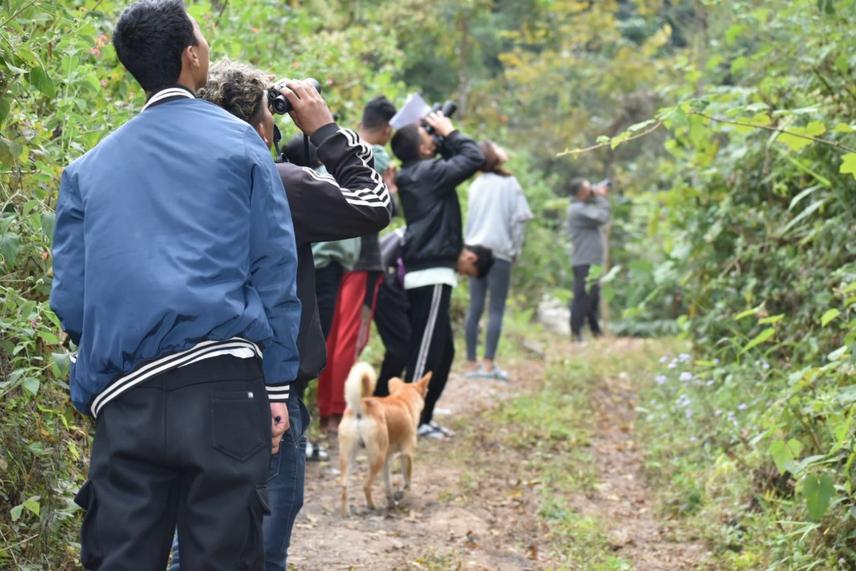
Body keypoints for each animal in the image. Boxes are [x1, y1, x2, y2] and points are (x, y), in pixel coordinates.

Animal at [338, 362, 432, 520]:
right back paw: (372, 506)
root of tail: (362, 405)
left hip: (349, 457)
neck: (403, 400)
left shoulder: (387, 461)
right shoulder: (407, 454)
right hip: (377, 458)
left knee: (344, 485)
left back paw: (345, 512)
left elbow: (388, 485)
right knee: (366, 485)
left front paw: (392, 502)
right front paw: (401, 494)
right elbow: (407, 480)